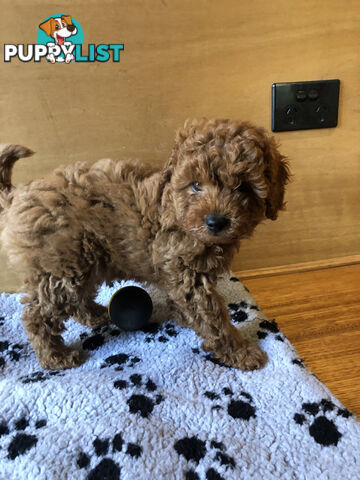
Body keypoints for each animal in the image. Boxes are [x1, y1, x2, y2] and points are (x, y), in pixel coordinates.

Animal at [0, 120, 290, 372]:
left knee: (75, 299)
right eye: (196, 185)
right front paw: (241, 352)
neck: (176, 209)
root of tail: (17, 195)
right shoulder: (187, 276)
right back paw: (55, 357)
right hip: (62, 266)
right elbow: (212, 318)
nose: (216, 222)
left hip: (82, 261)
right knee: (38, 314)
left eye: (243, 188)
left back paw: (95, 315)